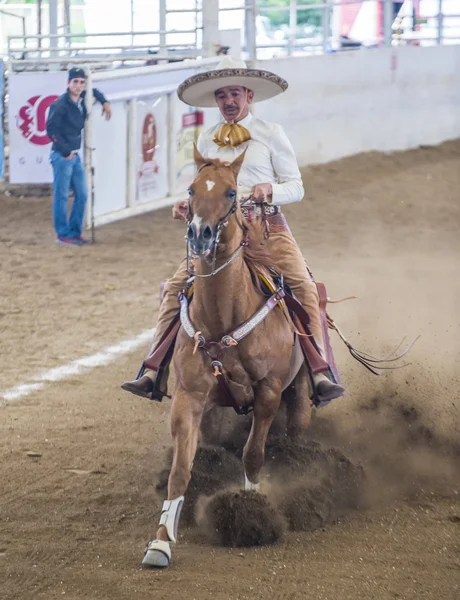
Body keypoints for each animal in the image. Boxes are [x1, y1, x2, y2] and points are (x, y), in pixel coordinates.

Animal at [142, 145, 310, 568]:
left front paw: (251, 513)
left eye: (232, 192)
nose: (199, 233)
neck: (223, 318)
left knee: (294, 430)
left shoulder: (268, 392)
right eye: (191, 188)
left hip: (299, 394)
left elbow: (252, 455)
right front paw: (161, 541)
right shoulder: (189, 397)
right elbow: (180, 470)